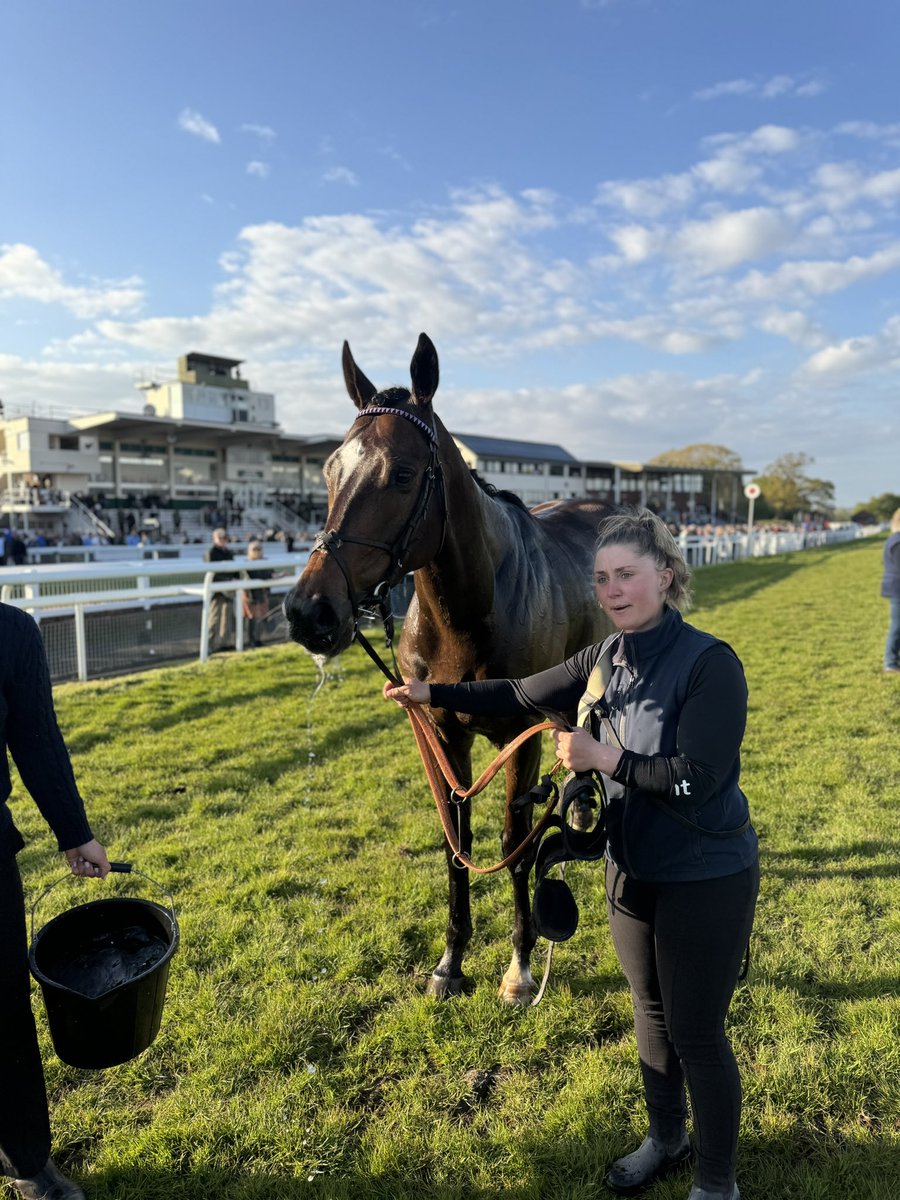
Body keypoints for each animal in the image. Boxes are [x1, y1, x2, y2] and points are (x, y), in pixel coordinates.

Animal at [286, 336, 614, 1003]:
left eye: (403, 474)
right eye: (330, 470)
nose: (309, 611)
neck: (470, 617)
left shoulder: (521, 740)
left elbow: (514, 846)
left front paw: (518, 968)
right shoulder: (443, 736)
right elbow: (455, 844)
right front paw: (451, 962)